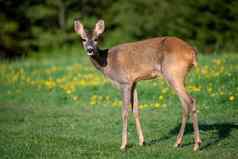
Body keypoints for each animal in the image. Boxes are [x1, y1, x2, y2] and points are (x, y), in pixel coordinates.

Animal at [73, 19, 202, 152]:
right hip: (179, 77)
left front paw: (123, 145)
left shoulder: (124, 82)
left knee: (190, 100)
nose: (90, 49)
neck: (108, 62)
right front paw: (142, 141)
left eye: (96, 38)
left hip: (173, 74)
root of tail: (192, 52)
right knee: (185, 104)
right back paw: (178, 143)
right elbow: (136, 110)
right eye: (83, 39)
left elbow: (124, 112)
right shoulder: (134, 82)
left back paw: (196, 144)